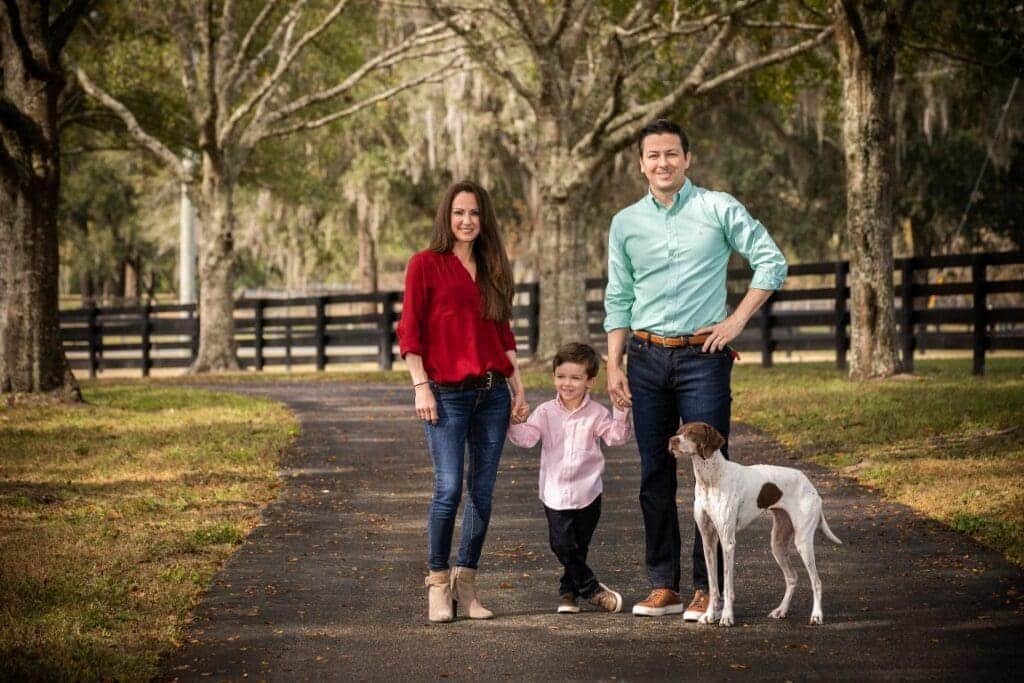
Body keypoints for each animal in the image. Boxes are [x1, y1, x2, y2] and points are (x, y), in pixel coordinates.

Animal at [667, 423, 843, 626]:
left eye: (692, 434)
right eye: (678, 431)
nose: (671, 440)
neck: (711, 478)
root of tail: (811, 486)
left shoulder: (727, 542)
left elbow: (727, 586)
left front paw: (726, 617)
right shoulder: (708, 541)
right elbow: (713, 585)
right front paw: (710, 614)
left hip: (803, 542)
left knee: (817, 581)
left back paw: (816, 615)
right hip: (777, 544)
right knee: (792, 577)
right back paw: (781, 610)